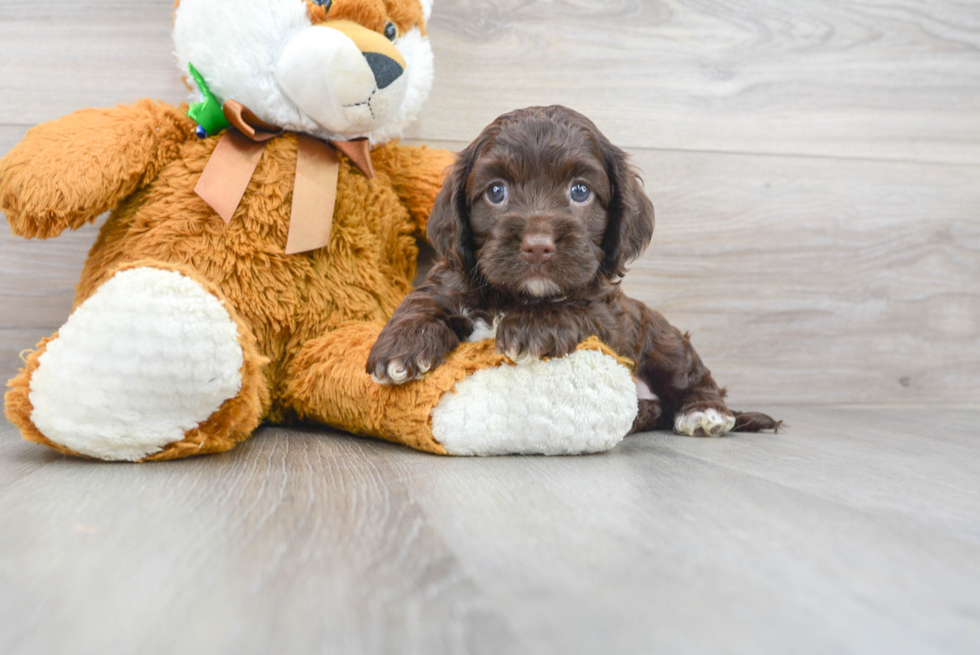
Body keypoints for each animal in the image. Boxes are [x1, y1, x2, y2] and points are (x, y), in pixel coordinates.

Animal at [368, 106, 780, 436]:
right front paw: (401, 346)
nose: (537, 244)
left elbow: (577, 308)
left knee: (691, 373)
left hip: (663, 338)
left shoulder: (610, 316)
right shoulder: (456, 273)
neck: (516, 295)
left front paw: (532, 326)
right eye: (496, 191)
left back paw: (705, 412)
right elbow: (425, 298)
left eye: (580, 191)